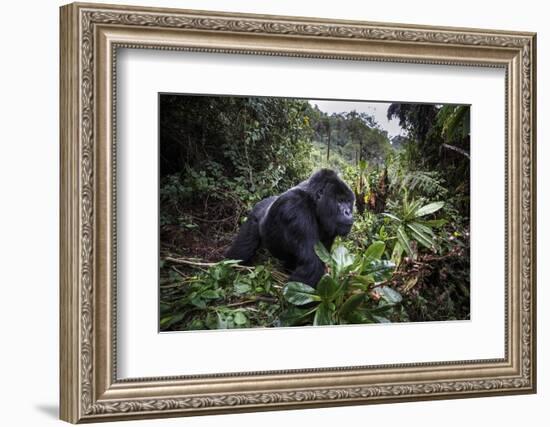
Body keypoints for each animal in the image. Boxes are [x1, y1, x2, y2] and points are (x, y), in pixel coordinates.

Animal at [226, 170, 356, 288]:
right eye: (340, 201)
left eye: (348, 202)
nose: (348, 212)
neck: (313, 202)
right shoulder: (296, 208)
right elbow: (312, 265)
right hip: (254, 217)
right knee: (242, 251)